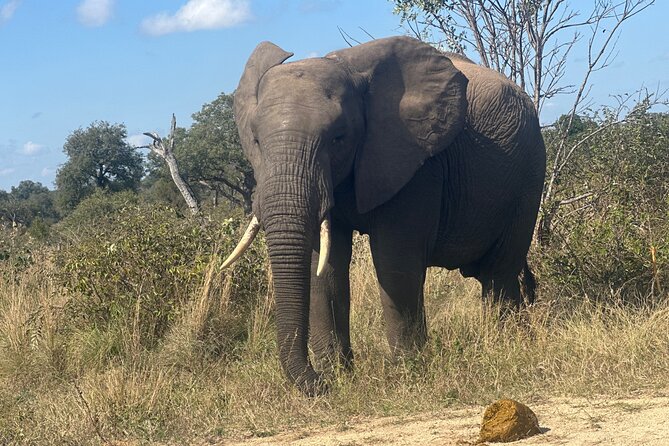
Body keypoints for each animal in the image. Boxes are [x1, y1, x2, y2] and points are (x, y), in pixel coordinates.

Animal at [222, 36, 544, 396]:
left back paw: (504, 345)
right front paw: (339, 374)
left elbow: (394, 262)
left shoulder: (414, 162)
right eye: (256, 140)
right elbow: (326, 268)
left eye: (338, 138)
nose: (319, 385)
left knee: (499, 272)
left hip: (529, 176)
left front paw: (408, 371)